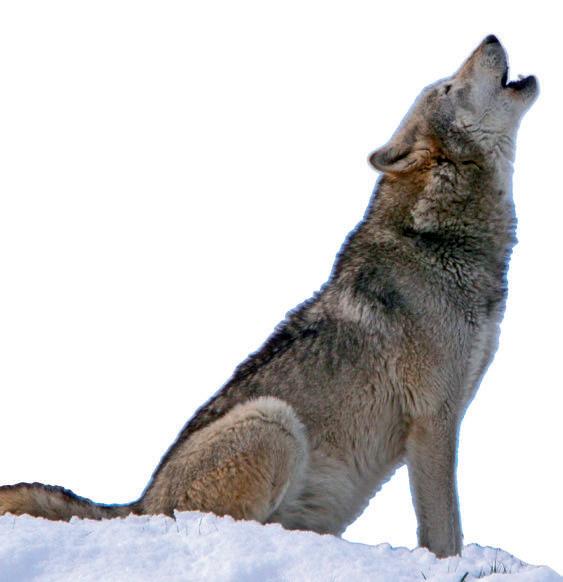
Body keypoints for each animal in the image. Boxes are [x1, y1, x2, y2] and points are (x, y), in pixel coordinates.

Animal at [0, 36, 537, 558]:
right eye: (447, 87)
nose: (491, 35)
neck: (439, 237)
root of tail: (137, 505)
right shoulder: (431, 420)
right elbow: (444, 532)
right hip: (273, 420)